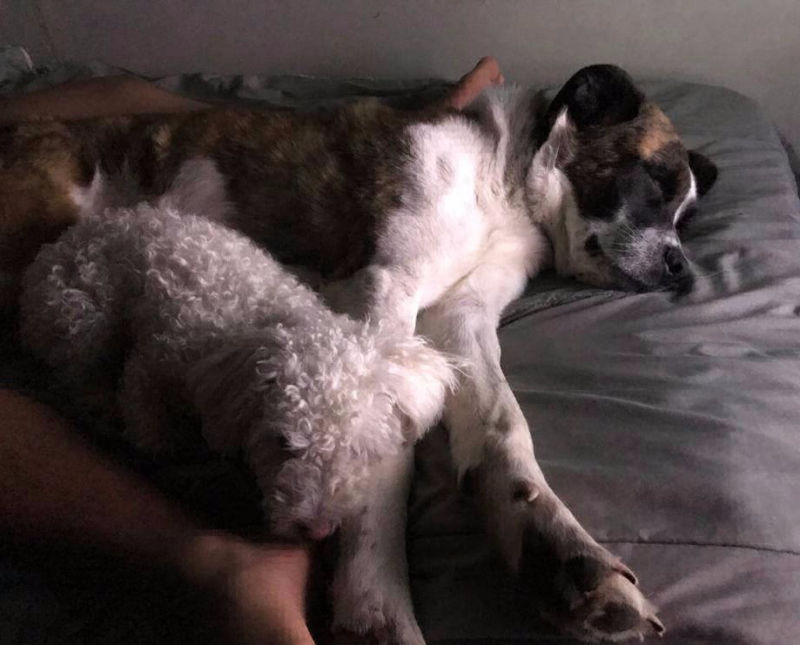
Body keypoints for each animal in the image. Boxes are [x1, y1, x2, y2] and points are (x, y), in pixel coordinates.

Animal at [3, 64, 717, 643]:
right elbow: (385, 458)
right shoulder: (383, 291)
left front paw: (558, 554)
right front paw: (376, 598)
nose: (680, 268)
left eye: (687, 215)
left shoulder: (460, 318)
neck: (500, 179)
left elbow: (501, 426)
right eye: (655, 179)